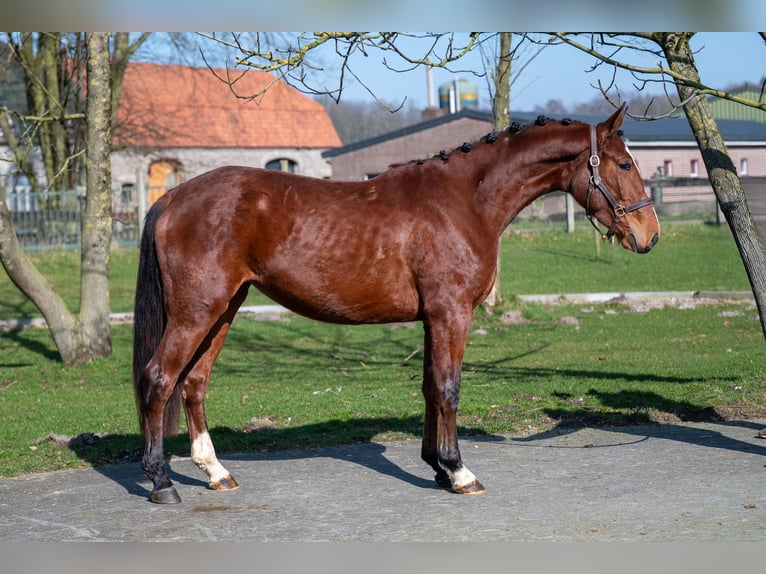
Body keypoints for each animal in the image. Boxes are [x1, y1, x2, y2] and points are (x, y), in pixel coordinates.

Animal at [132, 103, 660, 504]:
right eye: (624, 164)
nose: (649, 235)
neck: (464, 201)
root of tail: (172, 198)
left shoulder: (433, 318)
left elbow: (429, 388)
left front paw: (437, 467)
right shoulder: (452, 314)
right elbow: (448, 388)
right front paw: (459, 472)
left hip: (224, 308)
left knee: (193, 383)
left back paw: (215, 472)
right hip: (197, 312)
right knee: (159, 379)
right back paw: (161, 481)